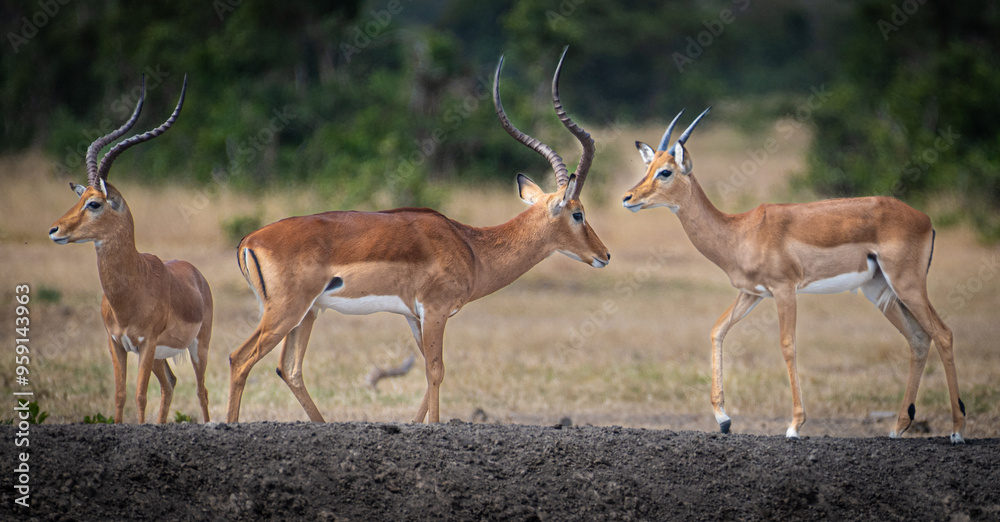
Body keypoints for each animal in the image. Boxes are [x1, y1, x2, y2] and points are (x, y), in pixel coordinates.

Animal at [48, 76, 213, 424]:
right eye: (80, 199)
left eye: (94, 204)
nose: (54, 230)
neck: (131, 290)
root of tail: (195, 273)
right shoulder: (117, 344)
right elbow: (121, 395)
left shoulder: (146, 344)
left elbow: (139, 395)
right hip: (162, 356)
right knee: (170, 384)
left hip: (198, 345)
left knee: (201, 390)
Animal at [227, 48, 610, 423]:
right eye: (578, 213)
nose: (604, 255)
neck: (470, 247)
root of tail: (249, 241)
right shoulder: (436, 310)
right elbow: (436, 371)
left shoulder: (415, 315)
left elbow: (429, 372)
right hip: (286, 311)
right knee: (240, 358)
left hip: (308, 313)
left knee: (289, 368)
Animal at [622, 109, 965, 443]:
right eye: (649, 166)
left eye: (666, 171)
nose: (628, 197)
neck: (740, 231)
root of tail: (925, 219)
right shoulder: (752, 293)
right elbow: (717, 330)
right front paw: (724, 420)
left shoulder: (784, 289)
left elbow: (788, 345)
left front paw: (794, 426)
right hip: (881, 291)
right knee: (918, 339)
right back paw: (897, 428)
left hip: (908, 284)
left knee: (943, 334)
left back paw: (957, 431)